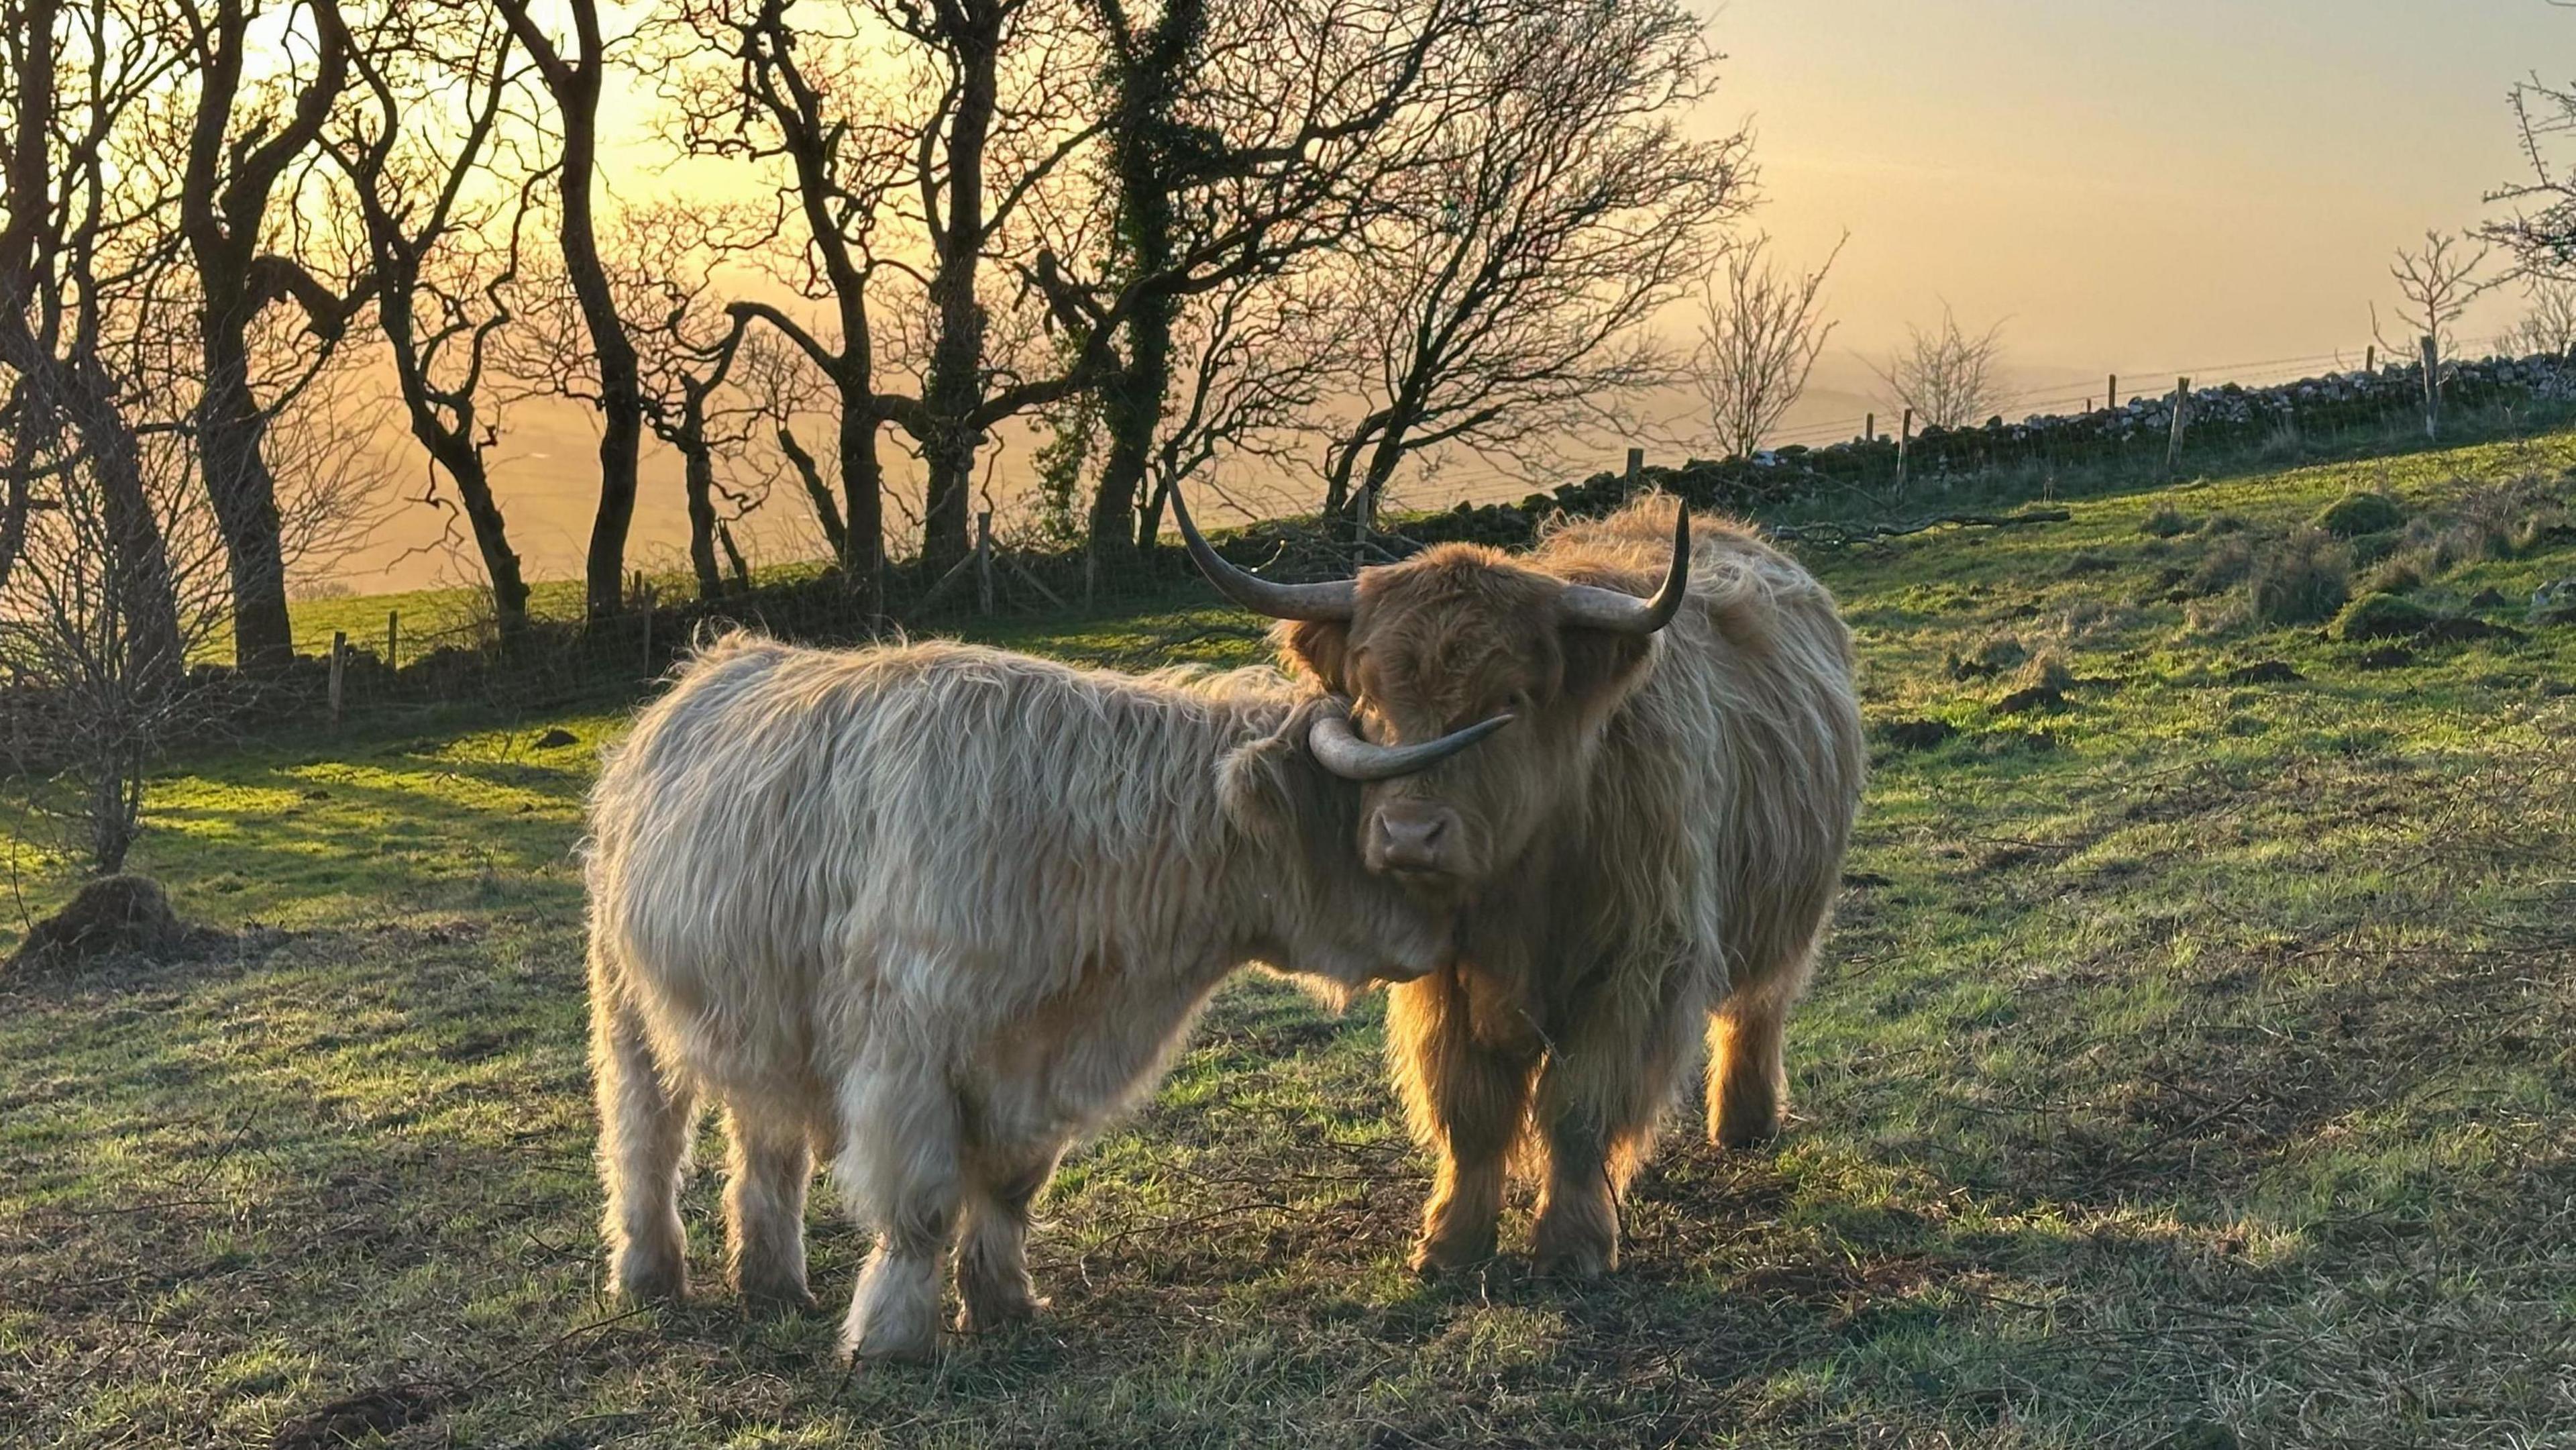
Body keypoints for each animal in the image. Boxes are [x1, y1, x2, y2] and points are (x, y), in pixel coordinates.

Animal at [584, 636, 1504, 1359]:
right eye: (1374, 811)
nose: (1450, 929)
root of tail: (708, 667)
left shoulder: (1038, 1067)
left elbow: (1010, 1189)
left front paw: (1003, 1304)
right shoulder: (907, 1052)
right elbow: (920, 1205)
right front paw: (892, 1335)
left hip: (766, 1017)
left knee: (766, 1144)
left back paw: (773, 1282)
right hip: (627, 1000)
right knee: (645, 1137)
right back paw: (649, 1273)